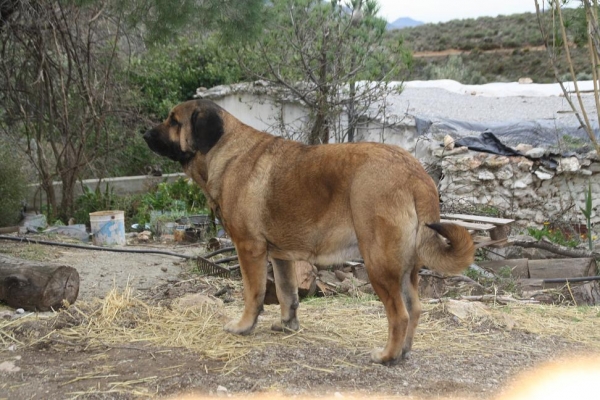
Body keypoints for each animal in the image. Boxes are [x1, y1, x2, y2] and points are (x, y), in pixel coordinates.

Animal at [143, 98, 476, 364]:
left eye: (174, 120)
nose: (144, 133)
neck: (225, 149)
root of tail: (414, 171)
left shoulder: (249, 248)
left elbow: (254, 293)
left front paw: (244, 326)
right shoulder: (280, 257)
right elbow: (286, 293)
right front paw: (287, 324)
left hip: (379, 264)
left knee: (400, 315)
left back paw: (387, 356)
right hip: (406, 268)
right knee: (415, 309)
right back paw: (404, 352)